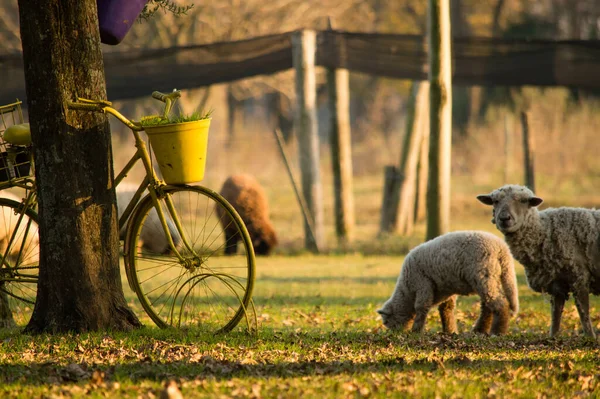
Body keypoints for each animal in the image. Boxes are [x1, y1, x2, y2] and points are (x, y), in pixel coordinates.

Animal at [378, 230, 516, 336]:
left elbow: (422, 307)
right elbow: (446, 309)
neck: (407, 291)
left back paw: (497, 332)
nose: (393, 334)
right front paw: (450, 331)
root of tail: (502, 249)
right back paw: (480, 330)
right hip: (491, 278)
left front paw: (416, 331)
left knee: (500, 304)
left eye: (386, 322)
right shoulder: (447, 289)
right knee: (487, 307)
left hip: (484, 276)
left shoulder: (422, 283)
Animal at [478, 184, 600, 338]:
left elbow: (584, 313)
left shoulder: (580, 277)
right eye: (495, 201)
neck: (544, 231)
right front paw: (553, 337)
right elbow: (555, 315)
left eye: (523, 201)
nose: (504, 218)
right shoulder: (557, 283)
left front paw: (590, 338)